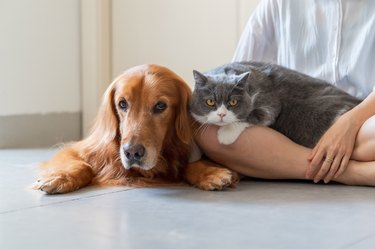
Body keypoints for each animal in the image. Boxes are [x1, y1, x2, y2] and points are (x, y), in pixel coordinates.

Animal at [32, 63, 238, 194]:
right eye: (122, 104)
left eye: (160, 106)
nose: (132, 153)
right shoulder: (79, 149)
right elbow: (83, 165)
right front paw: (60, 176)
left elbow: (188, 164)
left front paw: (209, 172)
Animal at [189, 62, 362, 147]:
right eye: (210, 101)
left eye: (233, 102)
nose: (221, 114)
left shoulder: (269, 101)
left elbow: (254, 115)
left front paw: (226, 135)